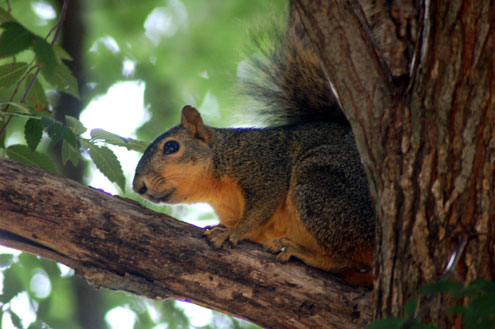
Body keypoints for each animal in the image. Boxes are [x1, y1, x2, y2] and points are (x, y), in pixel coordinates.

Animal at [134, 9, 374, 288]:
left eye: (171, 147)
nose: (138, 187)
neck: (215, 184)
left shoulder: (262, 166)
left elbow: (261, 206)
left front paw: (231, 232)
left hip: (322, 185)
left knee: (343, 258)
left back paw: (300, 252)